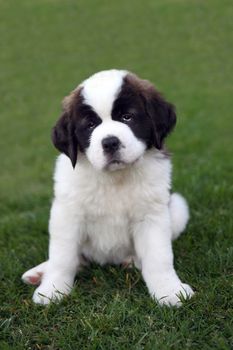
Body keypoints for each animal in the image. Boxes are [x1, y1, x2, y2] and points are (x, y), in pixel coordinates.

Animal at [21, 69, 194, 304]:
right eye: (90, 125)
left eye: (127, 117)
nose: (110, 142)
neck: (114, 178)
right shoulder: (67, 214)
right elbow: (62, 256)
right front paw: (52, 289)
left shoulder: (152, 214)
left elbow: (159, 257)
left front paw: (169, 290)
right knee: (78, 257)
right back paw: (40, 272)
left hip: (177, 206)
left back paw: (133, 261)